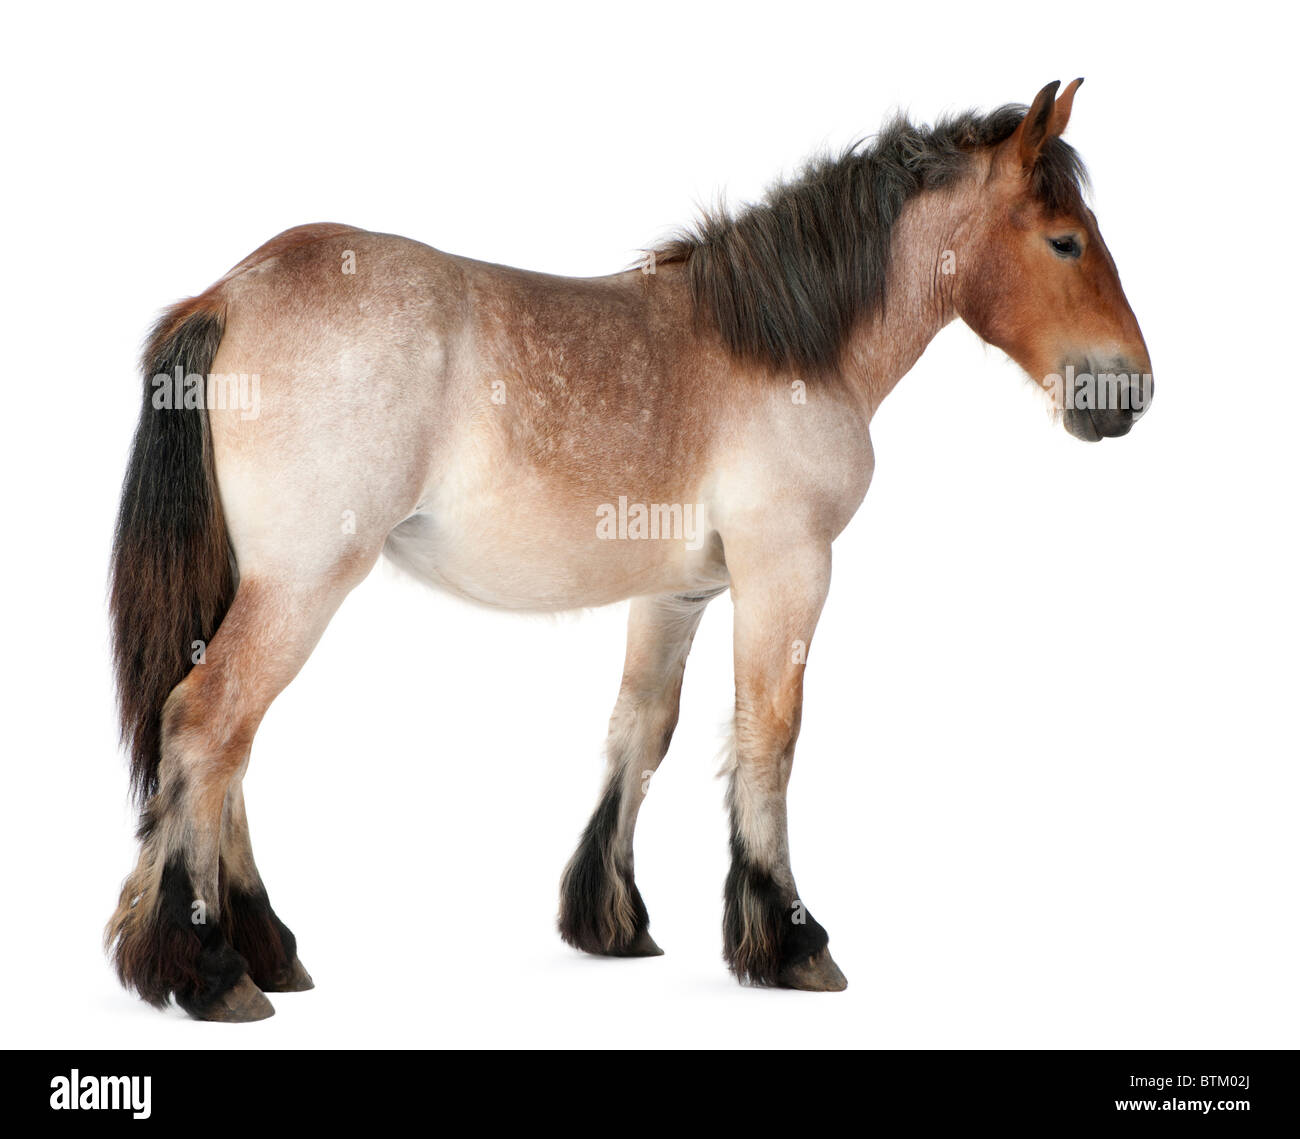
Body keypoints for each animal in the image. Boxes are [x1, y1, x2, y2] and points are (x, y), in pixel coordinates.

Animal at [109, 82, 1149, 1024]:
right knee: (207, 725)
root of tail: (230, 293)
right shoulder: (787, 567)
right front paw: (790, 940)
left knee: (225, 751)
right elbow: (770, 734)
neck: (786, 347)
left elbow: (643, 731)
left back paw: (264, 943)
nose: (1129, 392)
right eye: (1065, 240)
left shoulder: (677, 595)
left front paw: (611, 920)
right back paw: (211, 968)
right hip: (301, 584)